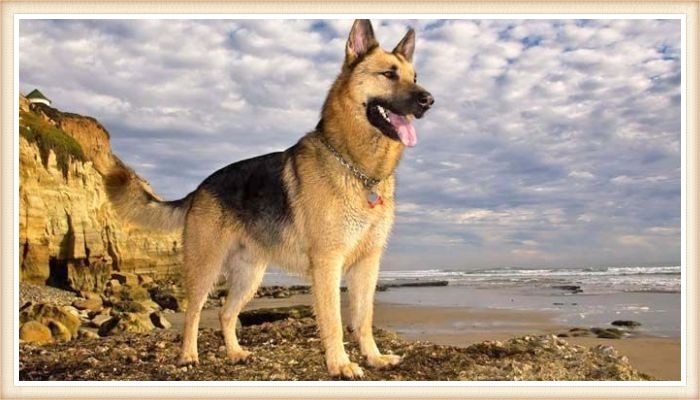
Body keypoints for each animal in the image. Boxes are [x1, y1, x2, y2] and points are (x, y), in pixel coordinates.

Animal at [107, 20, 432, 378]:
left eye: (414, 77)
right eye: (388, 74)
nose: (429, 100)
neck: (357, 167)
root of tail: (200, 187)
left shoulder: (367, 264)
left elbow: (364, 317)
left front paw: (373, 357)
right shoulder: (328, 264)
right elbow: (334, 321)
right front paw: (340, 364)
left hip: (250, 276)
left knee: (224, 313)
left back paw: (235, 353)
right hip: (205, 269)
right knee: (193, 313)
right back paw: (188, 356)